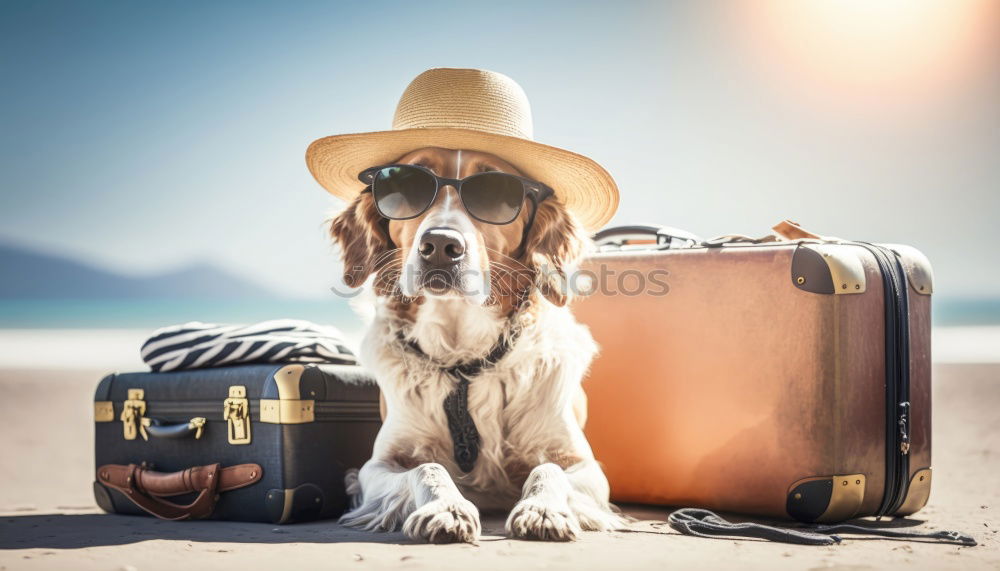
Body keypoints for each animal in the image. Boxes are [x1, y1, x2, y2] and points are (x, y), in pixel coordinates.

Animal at [328, 145, 624, 544]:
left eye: (495, 193)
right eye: (405, 186)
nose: (440, 245)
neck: (464, 359)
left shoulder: (583, 466)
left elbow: (548, 469)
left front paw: (542, 509)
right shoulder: (377, 466)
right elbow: (428, 467)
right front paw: (445, 507)